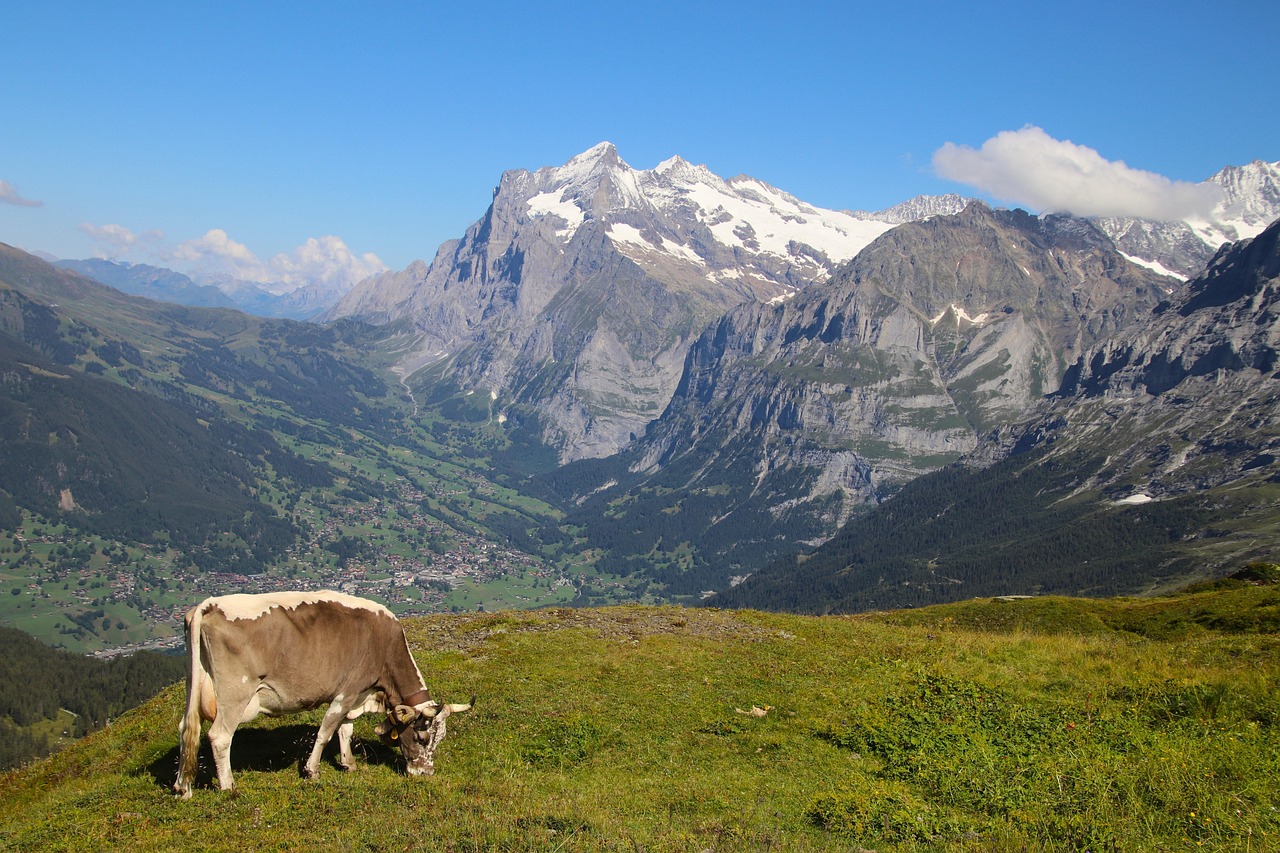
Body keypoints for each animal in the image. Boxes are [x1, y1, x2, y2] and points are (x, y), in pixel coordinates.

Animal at [173, 590, 471, 798]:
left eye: (440, 739)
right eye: (422, 738)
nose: (425, 773)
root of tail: (208, 605)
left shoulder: (355, 695)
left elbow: (345, 730)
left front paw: (348, 764)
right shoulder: (347, 690)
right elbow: (326, 731)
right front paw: (312, 770)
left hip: (193, 684)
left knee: (187, 728)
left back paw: (183, 787)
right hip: (236, 692)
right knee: (220, 736)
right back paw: (228, 786)